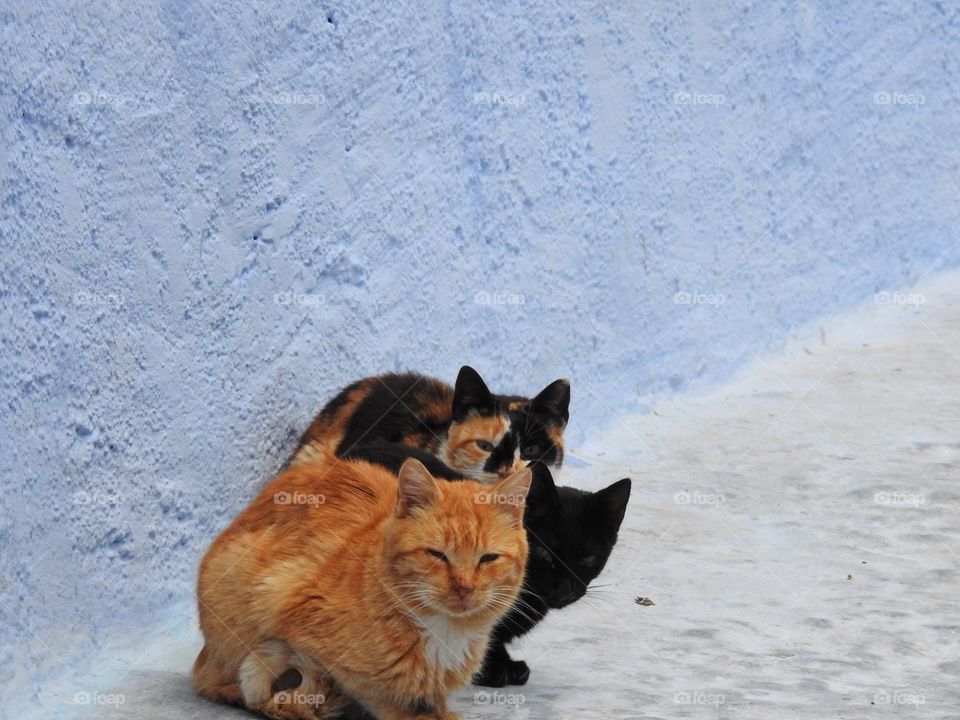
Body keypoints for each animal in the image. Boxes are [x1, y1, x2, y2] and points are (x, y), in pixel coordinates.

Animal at [194, 456, 532, 720]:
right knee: (217, 683)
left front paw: (436, 708)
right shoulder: (285, 596)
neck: (445, 630)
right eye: (437, 555)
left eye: (488, 558)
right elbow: (370, 688)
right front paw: (411, 712)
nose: (464, 587)